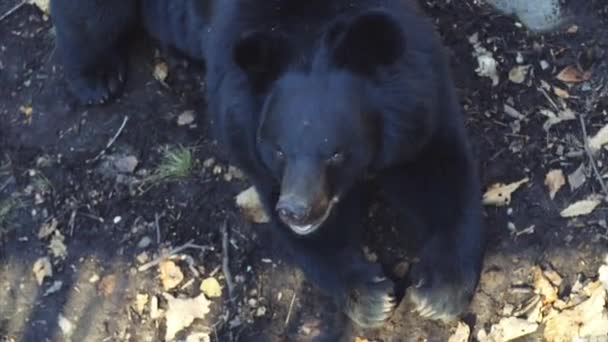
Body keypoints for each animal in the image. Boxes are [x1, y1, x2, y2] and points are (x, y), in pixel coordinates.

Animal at [51, 0, 484, 328]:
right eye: (279, 151)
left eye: (337, 152)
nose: (297, 210)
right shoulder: (243, 129)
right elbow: (304, 233)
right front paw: (371, 295)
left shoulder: (419, 100)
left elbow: (438, 171)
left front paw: (437, 292)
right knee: (90, 17)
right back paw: (96, 79)